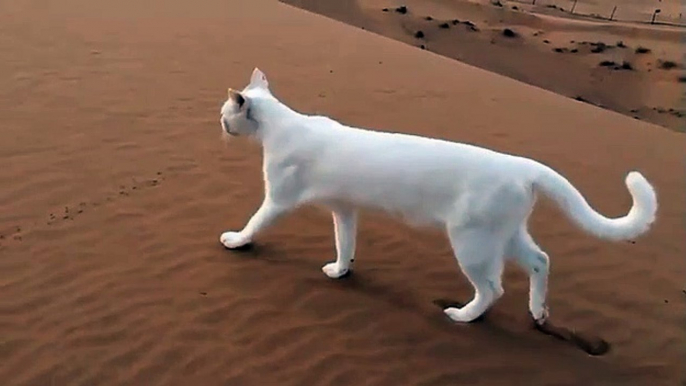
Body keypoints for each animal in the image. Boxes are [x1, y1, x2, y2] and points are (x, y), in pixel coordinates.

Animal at [220, 68, 660, 324]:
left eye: (226, 116)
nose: (219, 124)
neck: (280, 126)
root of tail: (523, 166)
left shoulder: (279, 198)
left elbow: (255, 222)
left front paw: (236, 241)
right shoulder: (345, 209)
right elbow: (345, 244)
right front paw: (341, 270)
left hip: (473, 242)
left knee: (494, 288)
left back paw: (463, 315)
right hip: (506, 235)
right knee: (541, 261)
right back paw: (538, 312)